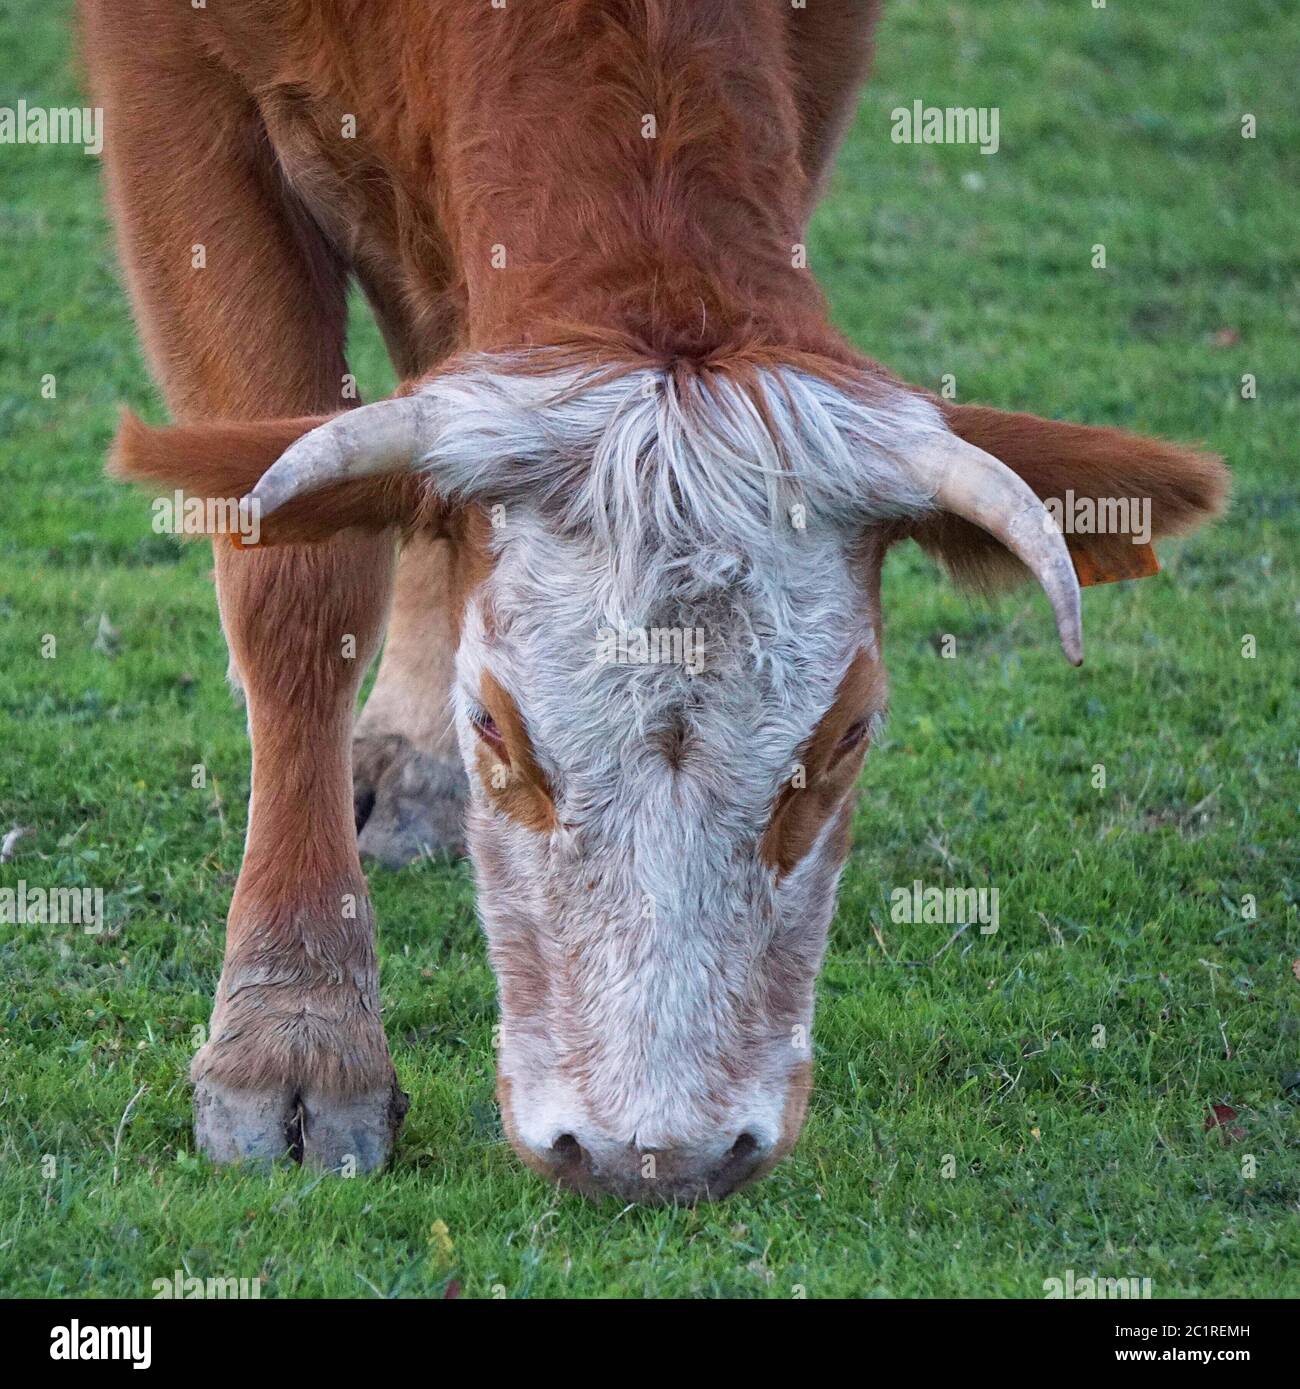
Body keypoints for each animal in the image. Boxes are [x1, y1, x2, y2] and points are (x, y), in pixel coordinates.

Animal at [82, 0, 1227, 1203]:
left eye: (852, 734)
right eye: (491, 721)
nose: (656, 1156)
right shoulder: (173, 83)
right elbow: (298, 579)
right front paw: (295, 1038)